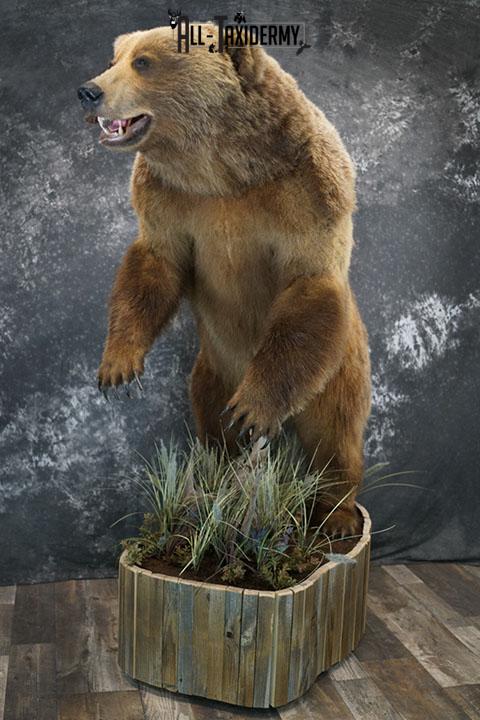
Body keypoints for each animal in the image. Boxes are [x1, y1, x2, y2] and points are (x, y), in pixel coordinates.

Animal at [77, 24, 371, 538]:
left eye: (144, 62)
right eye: (115, 58)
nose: (88, 90)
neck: (221, 170)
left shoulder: (309, 188)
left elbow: (308, 281)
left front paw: (253, 406)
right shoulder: (167, 197)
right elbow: (155, 264)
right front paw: (118, 366)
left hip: (338, 370)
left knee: (334, 437)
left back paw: (336, 517)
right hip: (210, 371)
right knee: (214, 431)